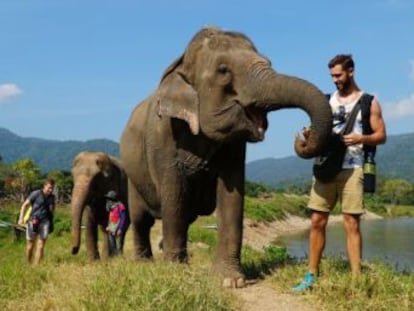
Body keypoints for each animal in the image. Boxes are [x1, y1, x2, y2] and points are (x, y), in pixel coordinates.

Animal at [118, 28, 332, 288]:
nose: (302, 134)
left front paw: (231, 281)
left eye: (269, 62)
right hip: (132, 174)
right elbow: (174, 193)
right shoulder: (163, 135)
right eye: (223, 70)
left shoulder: (235, 144)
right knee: (141, 218)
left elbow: (232, 193)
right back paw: (144, 263)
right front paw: (177, 274)